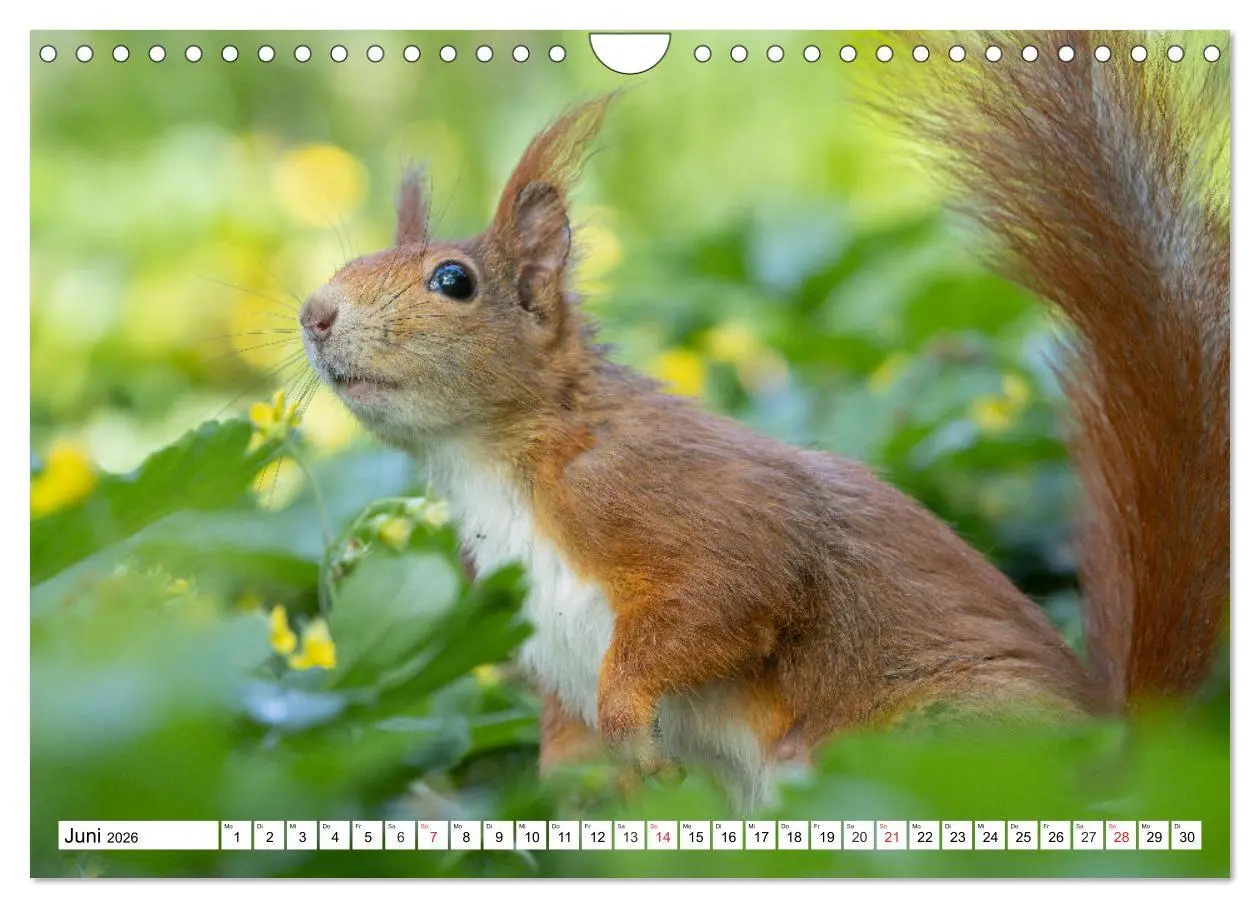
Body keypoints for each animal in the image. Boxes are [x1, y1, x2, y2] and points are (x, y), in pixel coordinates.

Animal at [298, 31, 1229, 808]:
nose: (313, 314)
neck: (495, 458)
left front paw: (631, 717)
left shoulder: (666, 491)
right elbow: (567, 743)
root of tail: (1113, 765)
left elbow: (733, 586)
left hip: (930, 749)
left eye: (453, 282)